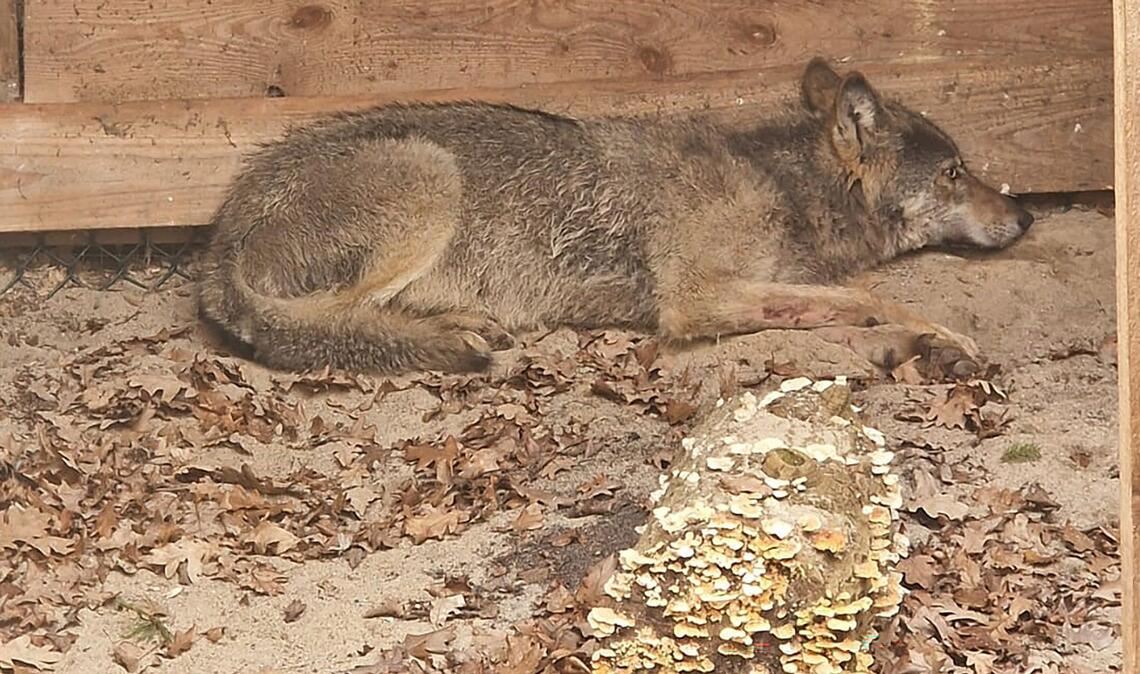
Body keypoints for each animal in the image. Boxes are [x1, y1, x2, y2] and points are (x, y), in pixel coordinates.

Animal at [196, 57, 1034, 375]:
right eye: (956, 173)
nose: (1026, 216)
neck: (780, 184)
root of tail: (219, 238)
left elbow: (843, 300)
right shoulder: (693, 301)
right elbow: (869, 297)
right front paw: (939, 337)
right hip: (430, 178)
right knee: (331, 322)